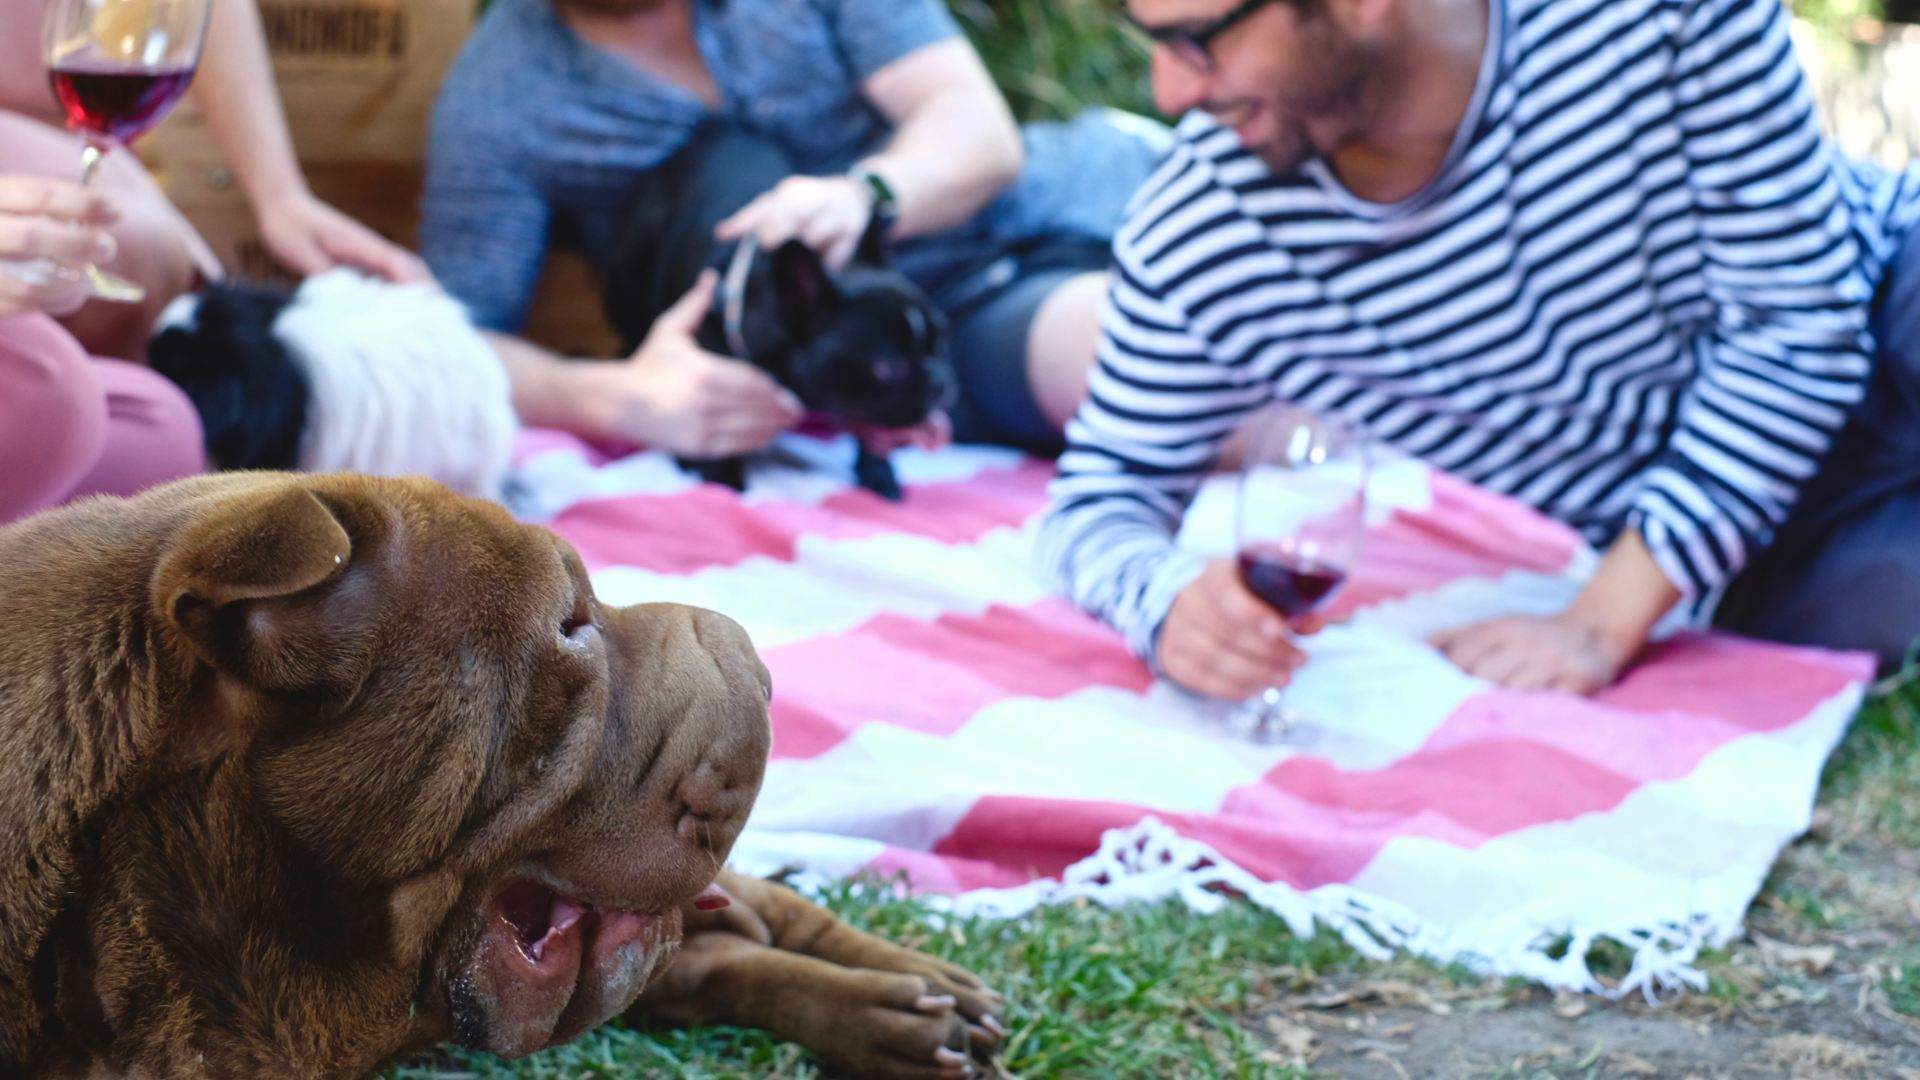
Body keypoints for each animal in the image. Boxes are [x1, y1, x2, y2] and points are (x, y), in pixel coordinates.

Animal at [606, 122, 952, 499]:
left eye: (940, 341)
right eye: (888, 367)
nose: (940, 381)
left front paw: (877, 471)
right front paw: (721, 475)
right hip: (629, 268)